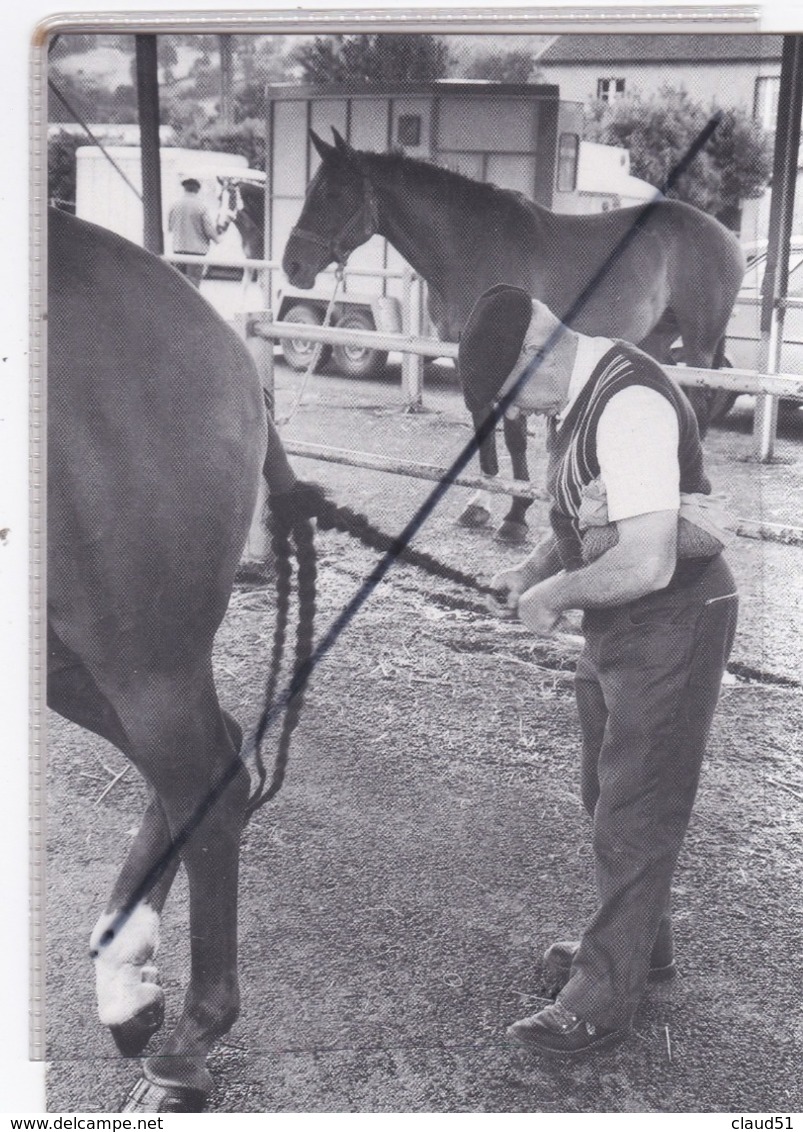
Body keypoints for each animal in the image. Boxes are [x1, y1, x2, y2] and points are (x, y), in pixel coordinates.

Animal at [283, 128, 747, 543]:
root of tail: (727, 235)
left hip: (700, 345)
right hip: (656, 339)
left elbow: (513, 435)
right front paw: (482, 506)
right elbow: (483, 428)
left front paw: (516, 516)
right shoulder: (468, 355)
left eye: (332, 194)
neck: (471, 245)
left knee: (699, 405)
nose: (292, 266)